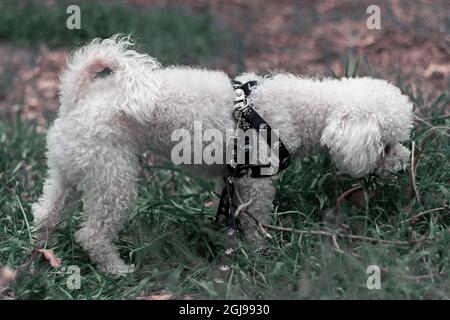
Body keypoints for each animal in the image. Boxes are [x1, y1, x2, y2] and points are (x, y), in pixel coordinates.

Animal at [30, 36, 412, 274]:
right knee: (92, 234)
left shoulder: (235, 178)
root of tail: (77, 97)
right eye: (385, 146)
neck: (297, 111)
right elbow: (256, 221)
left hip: (71, 169)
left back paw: (40, 254)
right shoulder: (257, 181)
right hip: (112, 176)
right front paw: (261, 252)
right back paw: (116, 270)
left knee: (45, 213)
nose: (404, 168)